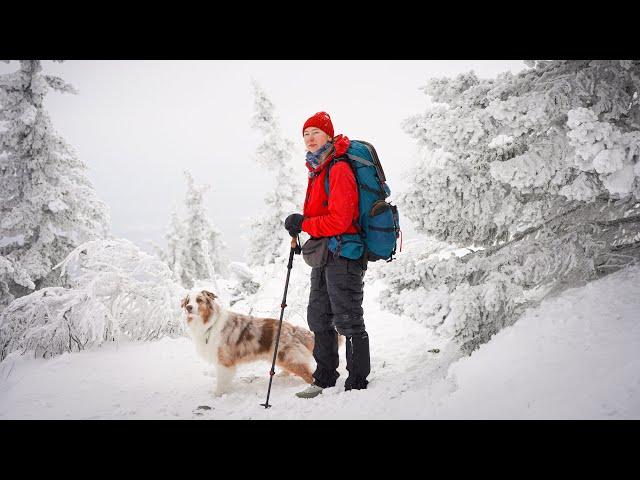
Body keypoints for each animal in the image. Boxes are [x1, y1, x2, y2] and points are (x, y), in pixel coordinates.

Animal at [181, 290, 316, 396]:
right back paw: (282, 375)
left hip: (286, 357)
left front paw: (217, 394)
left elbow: (221, 381)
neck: (209, 323)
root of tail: (293, 329)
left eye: (199, 300)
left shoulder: (223, 360)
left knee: (309, 375)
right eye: (188, 301)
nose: (188, 307)